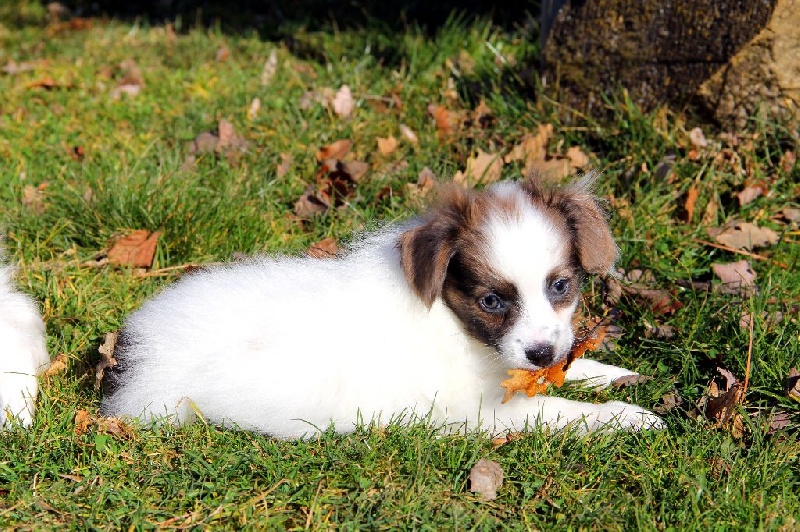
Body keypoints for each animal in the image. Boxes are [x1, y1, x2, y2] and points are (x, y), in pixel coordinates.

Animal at [101, 177, 663, 438]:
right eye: (491, 301)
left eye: (561, 286)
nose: (542, 353)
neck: (452, 323)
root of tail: (138, 351)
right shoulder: (477, 412)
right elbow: (560, 410)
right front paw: (627, 417)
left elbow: (571, 371)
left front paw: (613, 374)